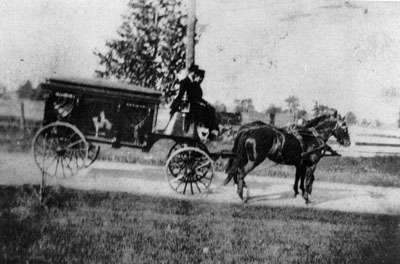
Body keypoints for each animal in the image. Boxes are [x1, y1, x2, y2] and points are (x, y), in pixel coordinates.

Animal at [223, 111, 352, 204]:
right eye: (344, 128)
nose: (348, 142)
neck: (313, 137)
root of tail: (249, 132)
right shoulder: (311, 165)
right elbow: (308, 180)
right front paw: (306, 198)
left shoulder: (300, 165)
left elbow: (299, 179)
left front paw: (298, 192)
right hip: (254, 160)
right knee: (241, 173)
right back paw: (241, 195)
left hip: (245, 158)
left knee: (236, 171)